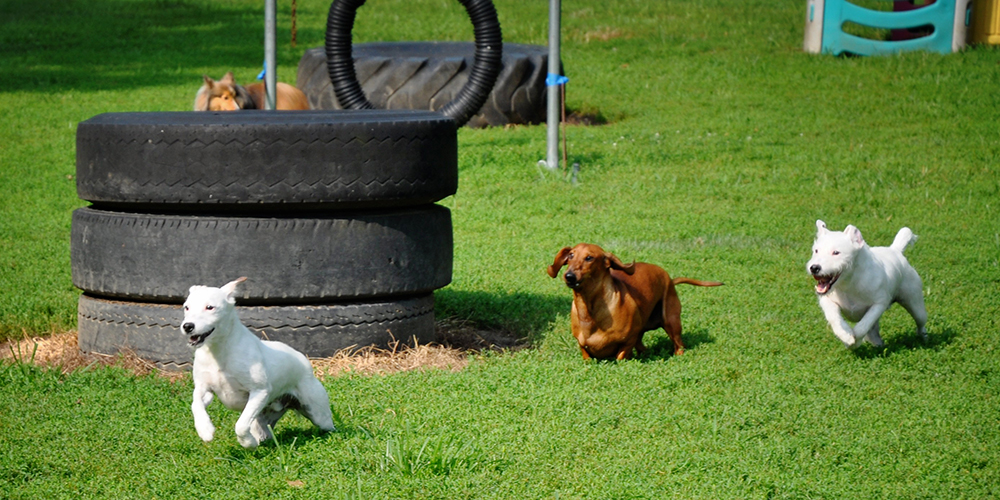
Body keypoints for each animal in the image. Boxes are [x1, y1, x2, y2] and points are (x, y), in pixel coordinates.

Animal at [182, 278, 334, 450]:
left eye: (210, 307)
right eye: (186, 307)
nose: (187, 326)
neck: (218, 352)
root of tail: (303, 359)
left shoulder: (259, 392)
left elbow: (241, 425)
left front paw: (248, 443)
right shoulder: (204, 388)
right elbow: (196, 404)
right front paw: (205, 429)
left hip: (318, 413)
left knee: (327, 425)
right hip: (263, 419)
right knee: (263, 431)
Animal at [552, 243, 724, 358]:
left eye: (589, 258)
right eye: (571, 256)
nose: (569, 276)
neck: (590, 311)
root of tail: (670, 279)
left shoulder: (628, 341)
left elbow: (621, 355)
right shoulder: (583, 346)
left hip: (671, 321)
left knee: (678, 343)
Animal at [804, 221, 928, 350]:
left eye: (836, 252)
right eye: (816, 251)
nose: (814, 267)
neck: (849, 283)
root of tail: (895, 250)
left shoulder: (879, 304)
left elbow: (864, 325)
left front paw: (855, 340)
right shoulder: (827, 300)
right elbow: (835, 319)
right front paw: (846, 336)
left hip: (915, 303)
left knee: (920, 322)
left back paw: (923, 337)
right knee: (873, 333)